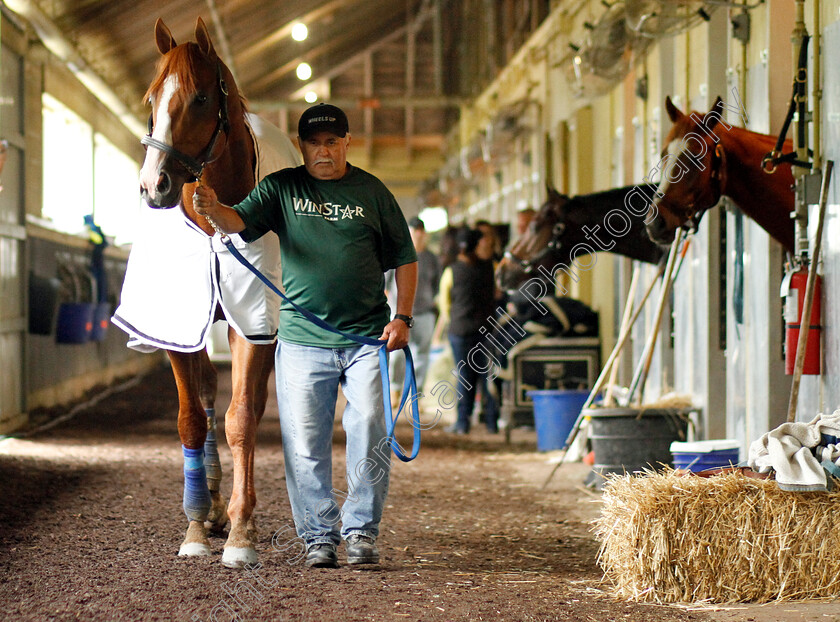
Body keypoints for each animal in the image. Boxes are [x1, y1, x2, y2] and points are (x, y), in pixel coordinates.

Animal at [113, 18, 300, 572]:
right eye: (151, 98)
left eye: (199, 98)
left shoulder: (252, 325)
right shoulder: (177, 326)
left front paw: (241, 532)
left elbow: (242, 420)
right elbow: (191, 419)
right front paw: (197, 524)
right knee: (207, 396)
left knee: (245, 407)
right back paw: (212, 503)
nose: (154, 185)